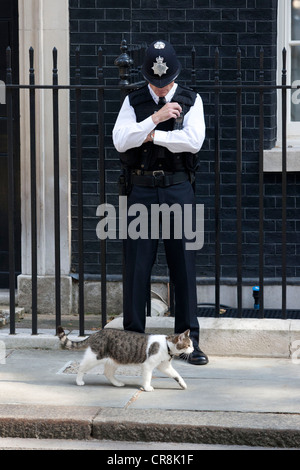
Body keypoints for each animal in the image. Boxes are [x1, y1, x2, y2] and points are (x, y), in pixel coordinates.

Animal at [57, 324, 193, 392]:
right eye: (188, 345)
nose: (193, 350)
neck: (166, 345)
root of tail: (96, 333)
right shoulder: (148, 365)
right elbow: (147, 377)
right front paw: (147, 387)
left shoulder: (164, 366)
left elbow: (176, 375)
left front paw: (183, 384)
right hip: (94, 357)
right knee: (81, 367)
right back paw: (79, 381)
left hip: (113, 360)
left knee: (108, 373)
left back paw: (117, 383)